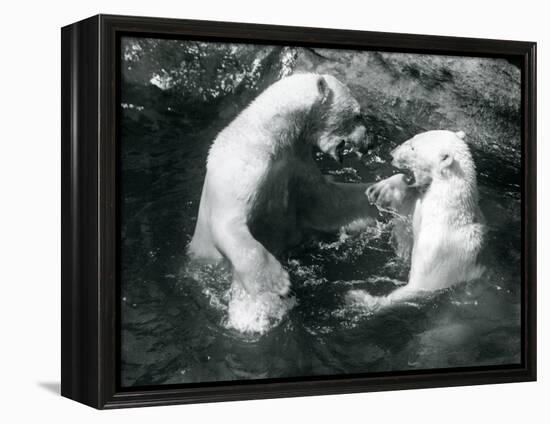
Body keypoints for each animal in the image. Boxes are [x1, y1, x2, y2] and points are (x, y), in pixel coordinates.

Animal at [188, 73, 378, 332]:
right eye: (358, 114)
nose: (371, 142)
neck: (269, 136)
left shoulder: (296, 165)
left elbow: (328, 202)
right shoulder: (243, 170)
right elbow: (228, 224)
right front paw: (277, 282)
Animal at [354, 127, 488, 310]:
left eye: (413, 148)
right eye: (413, 137)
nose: (391, 154)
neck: (446, 212)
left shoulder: (438, 252)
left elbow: (421, 286)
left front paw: (364, 298)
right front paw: (380, 189)